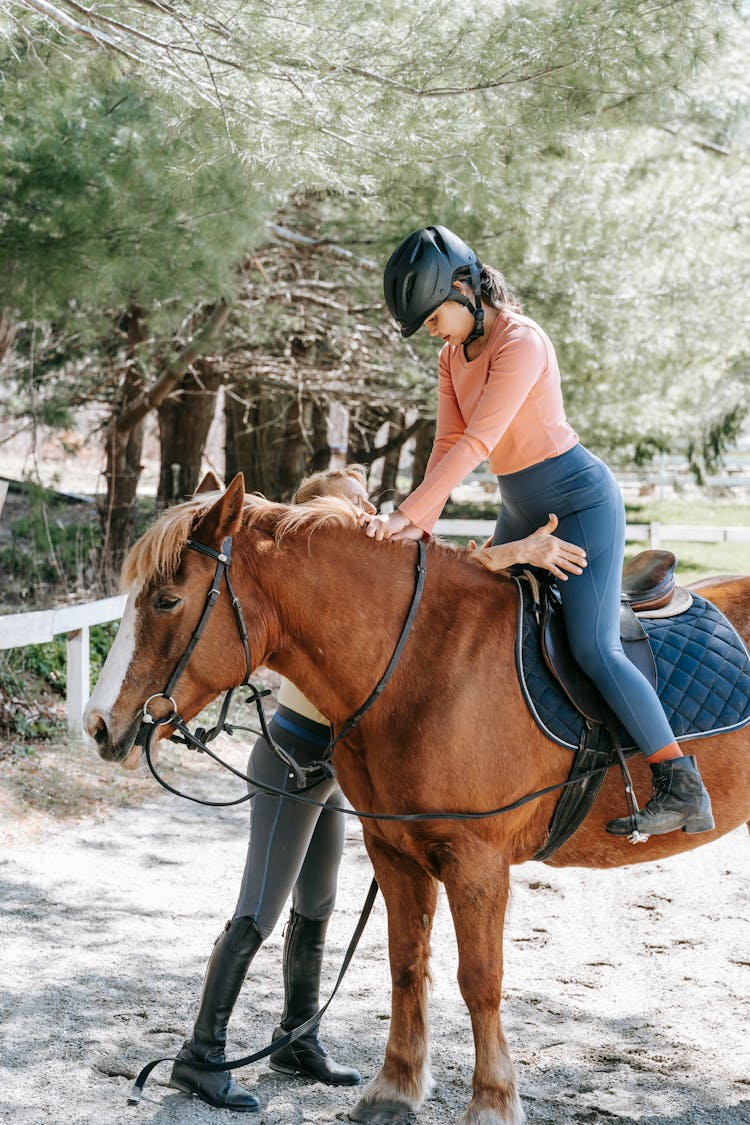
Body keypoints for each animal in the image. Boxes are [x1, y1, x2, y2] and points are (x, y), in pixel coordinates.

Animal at [84, 474, 750, 1125]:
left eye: (167, 600)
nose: (98, 724)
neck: (424, 663)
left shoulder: (477, 859)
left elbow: (479, 978)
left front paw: (492, 1102)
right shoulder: (394, 849)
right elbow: (406, 962)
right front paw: (394, 1089)